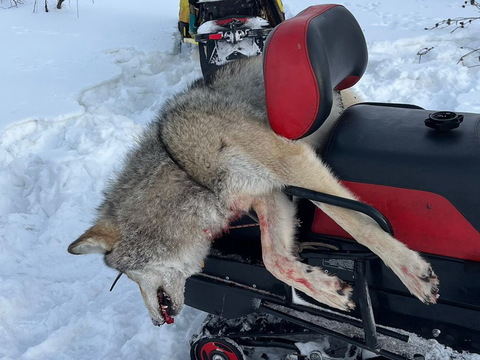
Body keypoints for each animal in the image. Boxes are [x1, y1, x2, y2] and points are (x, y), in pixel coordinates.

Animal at [66, 56, 438, 326]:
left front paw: (412, 273)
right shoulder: (269, 195)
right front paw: (327, 290)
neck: (188, 171)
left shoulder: (291, 163)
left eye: (124, 277)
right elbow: (274, 260)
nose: (157, 323)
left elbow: (357, 224)